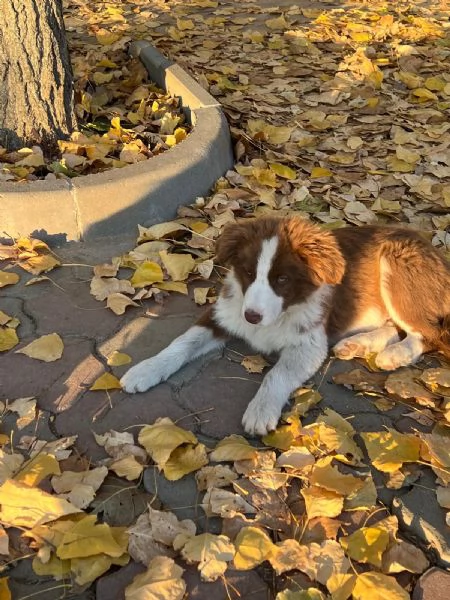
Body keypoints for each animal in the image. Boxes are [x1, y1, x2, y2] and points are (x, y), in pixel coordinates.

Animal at [121, 216, 450, 436]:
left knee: (426, 333)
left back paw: (396, 354)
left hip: (398, 264)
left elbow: (277, 374)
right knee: (394, 327)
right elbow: (181, 343)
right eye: (248, 273)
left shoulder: (309, 342)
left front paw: (260, 409)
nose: (251, 317)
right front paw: (145, 369)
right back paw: (357, 344)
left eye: (282, 279)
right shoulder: (224, 314)